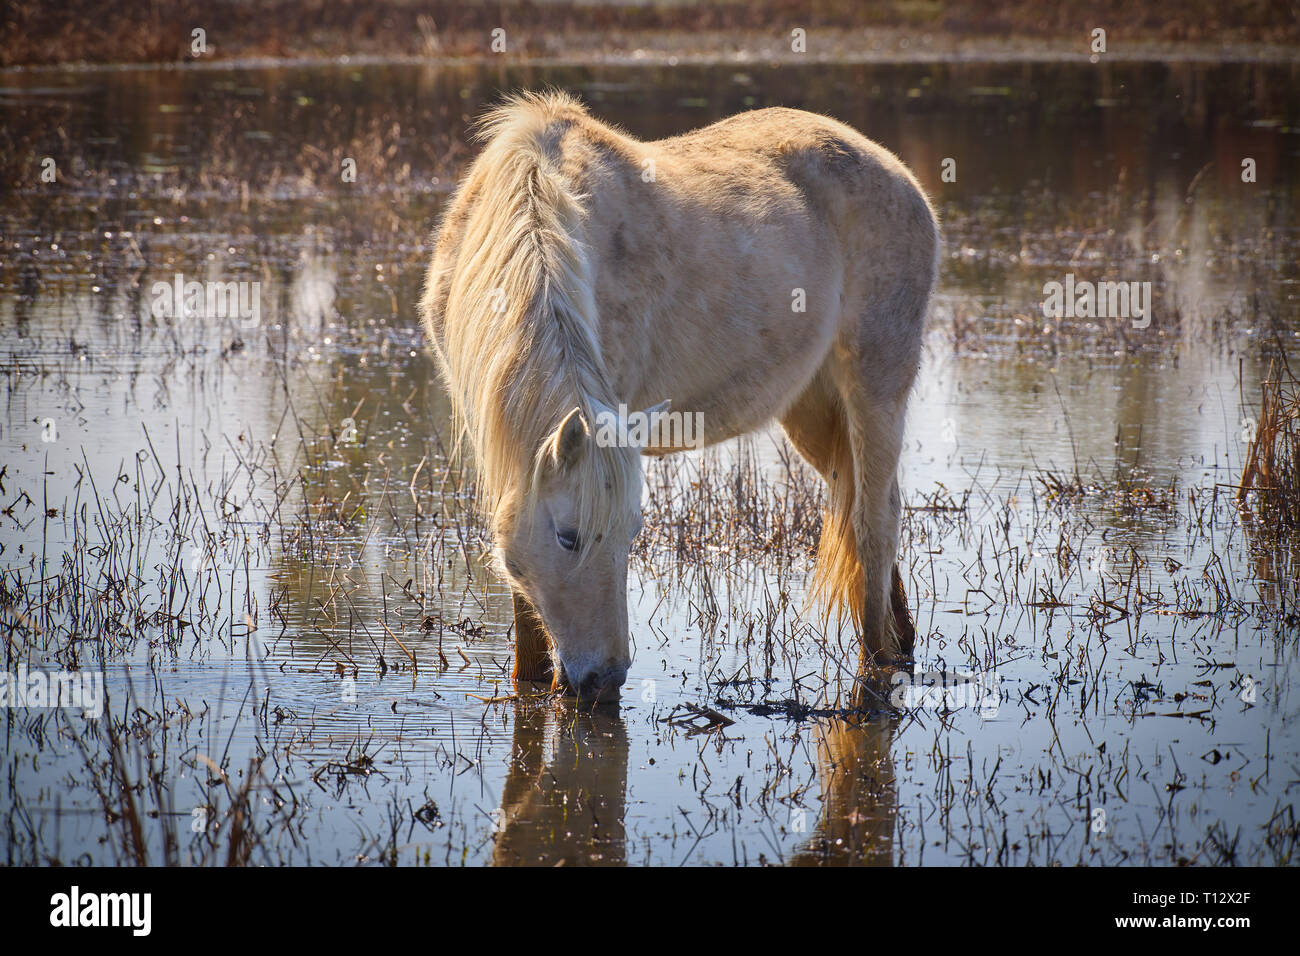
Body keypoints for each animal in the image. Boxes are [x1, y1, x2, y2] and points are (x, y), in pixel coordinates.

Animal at [421, 91, 941, 702]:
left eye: (631, 533)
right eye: (568, 537)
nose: (603, 680)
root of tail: (899, 173)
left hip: (877, 385)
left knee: (875, 520)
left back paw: (879, 662)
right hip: (814, 411)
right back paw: (901, 643)